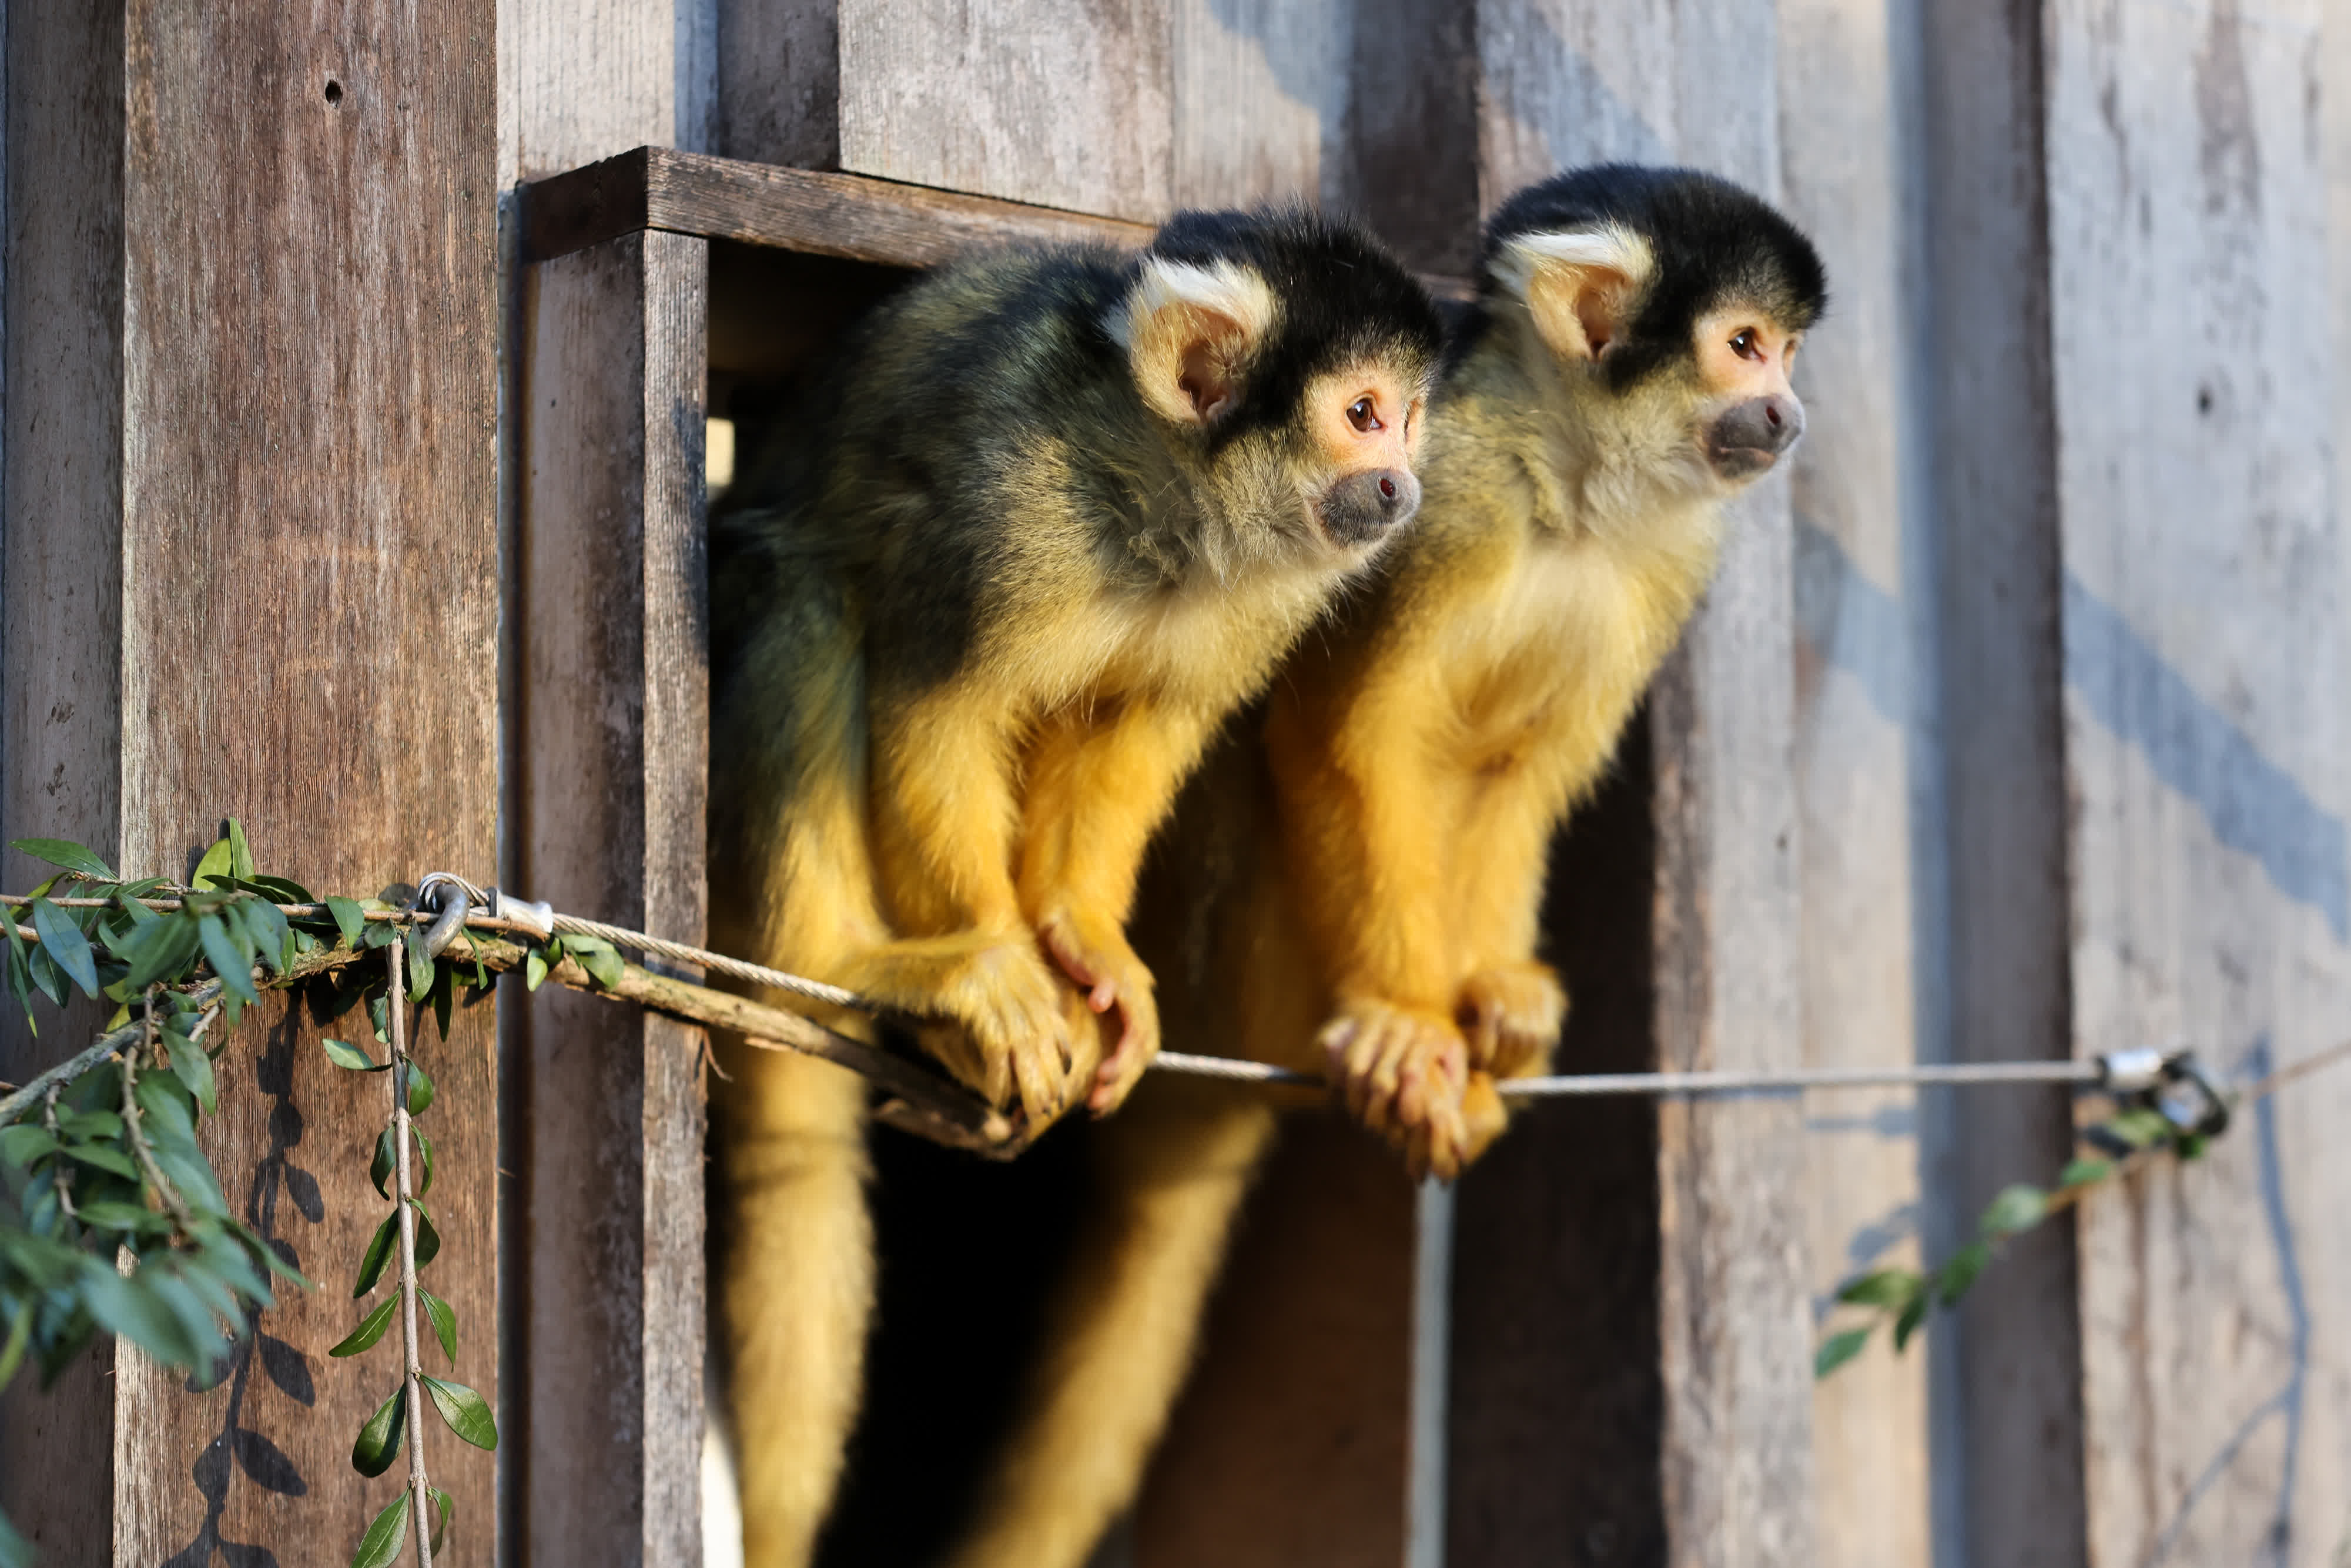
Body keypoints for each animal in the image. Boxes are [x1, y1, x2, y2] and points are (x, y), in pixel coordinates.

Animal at [705, 212, 1439, 1568]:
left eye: (1412, 418)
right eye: (1363, 415)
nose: (1404, 485)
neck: (1166, 499)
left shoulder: (1260, 596)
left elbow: (1133, 729)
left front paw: (1083, 945)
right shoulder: (1010, 506)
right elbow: (935, 694)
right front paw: (995, 965)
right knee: (803, 586)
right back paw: (846, 957)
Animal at [945, 169, 1824, 1568]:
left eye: (1786, 350)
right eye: (1745, 345)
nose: (1788, 409)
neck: (1568, 488)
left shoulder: (1665, 558)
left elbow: (1520, 774)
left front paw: (1494, 995)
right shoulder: (1444, 499)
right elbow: (1348, 738)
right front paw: (1412, 1017)